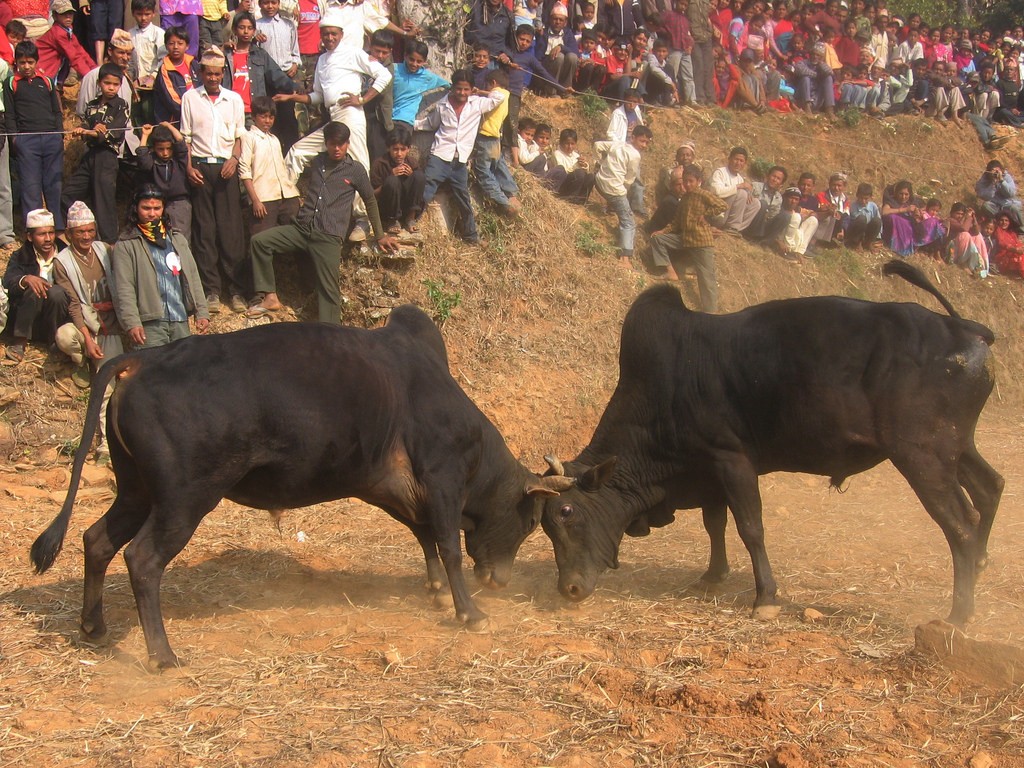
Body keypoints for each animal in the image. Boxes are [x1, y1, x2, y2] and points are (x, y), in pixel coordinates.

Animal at [32, 307, 573, 671]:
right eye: (531, 522)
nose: (500, 580)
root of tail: (142, 359)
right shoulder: (442, 477)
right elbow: (448, 543)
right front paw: (470, 611)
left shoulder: (389, 484)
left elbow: (424, 537)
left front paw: (438, 592)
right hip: (183, 500)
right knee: (141, 559)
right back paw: (162, 655)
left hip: (136, 491)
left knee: (97, 540)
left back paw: (94, 628)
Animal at [540, 260, 1003, 626]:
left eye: (567, 512)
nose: (569, 589)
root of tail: (966, 329)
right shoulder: (708, 470)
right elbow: (715, 523)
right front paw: (713, 576)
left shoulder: (731, 459)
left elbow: (750, 527)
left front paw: (765, 598)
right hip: (956, 447)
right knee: (990, 487)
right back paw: (980, 566)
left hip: (922, 455)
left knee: (961, 523)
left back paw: (959, 615)